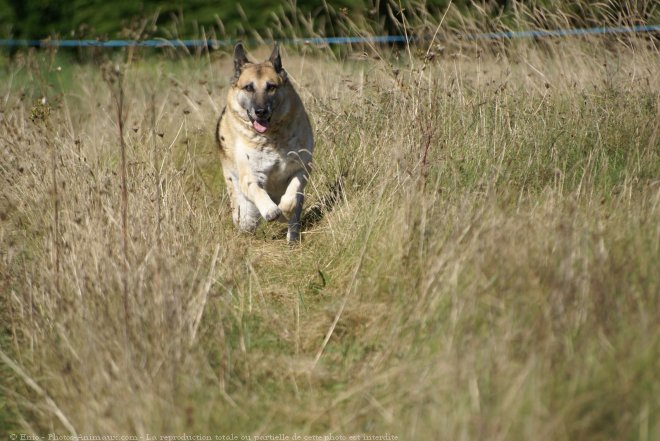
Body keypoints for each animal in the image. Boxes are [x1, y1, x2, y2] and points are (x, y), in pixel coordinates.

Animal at [214, 43, 312, 242]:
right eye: (248, 88)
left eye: (271, 87)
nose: (260, 111)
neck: (271, 137)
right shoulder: (251, 176)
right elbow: (258, 191)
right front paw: (272, 211)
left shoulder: (301, 169)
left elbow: (290, 199)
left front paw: (283, 212)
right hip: (244, 211)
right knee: (246, 219)